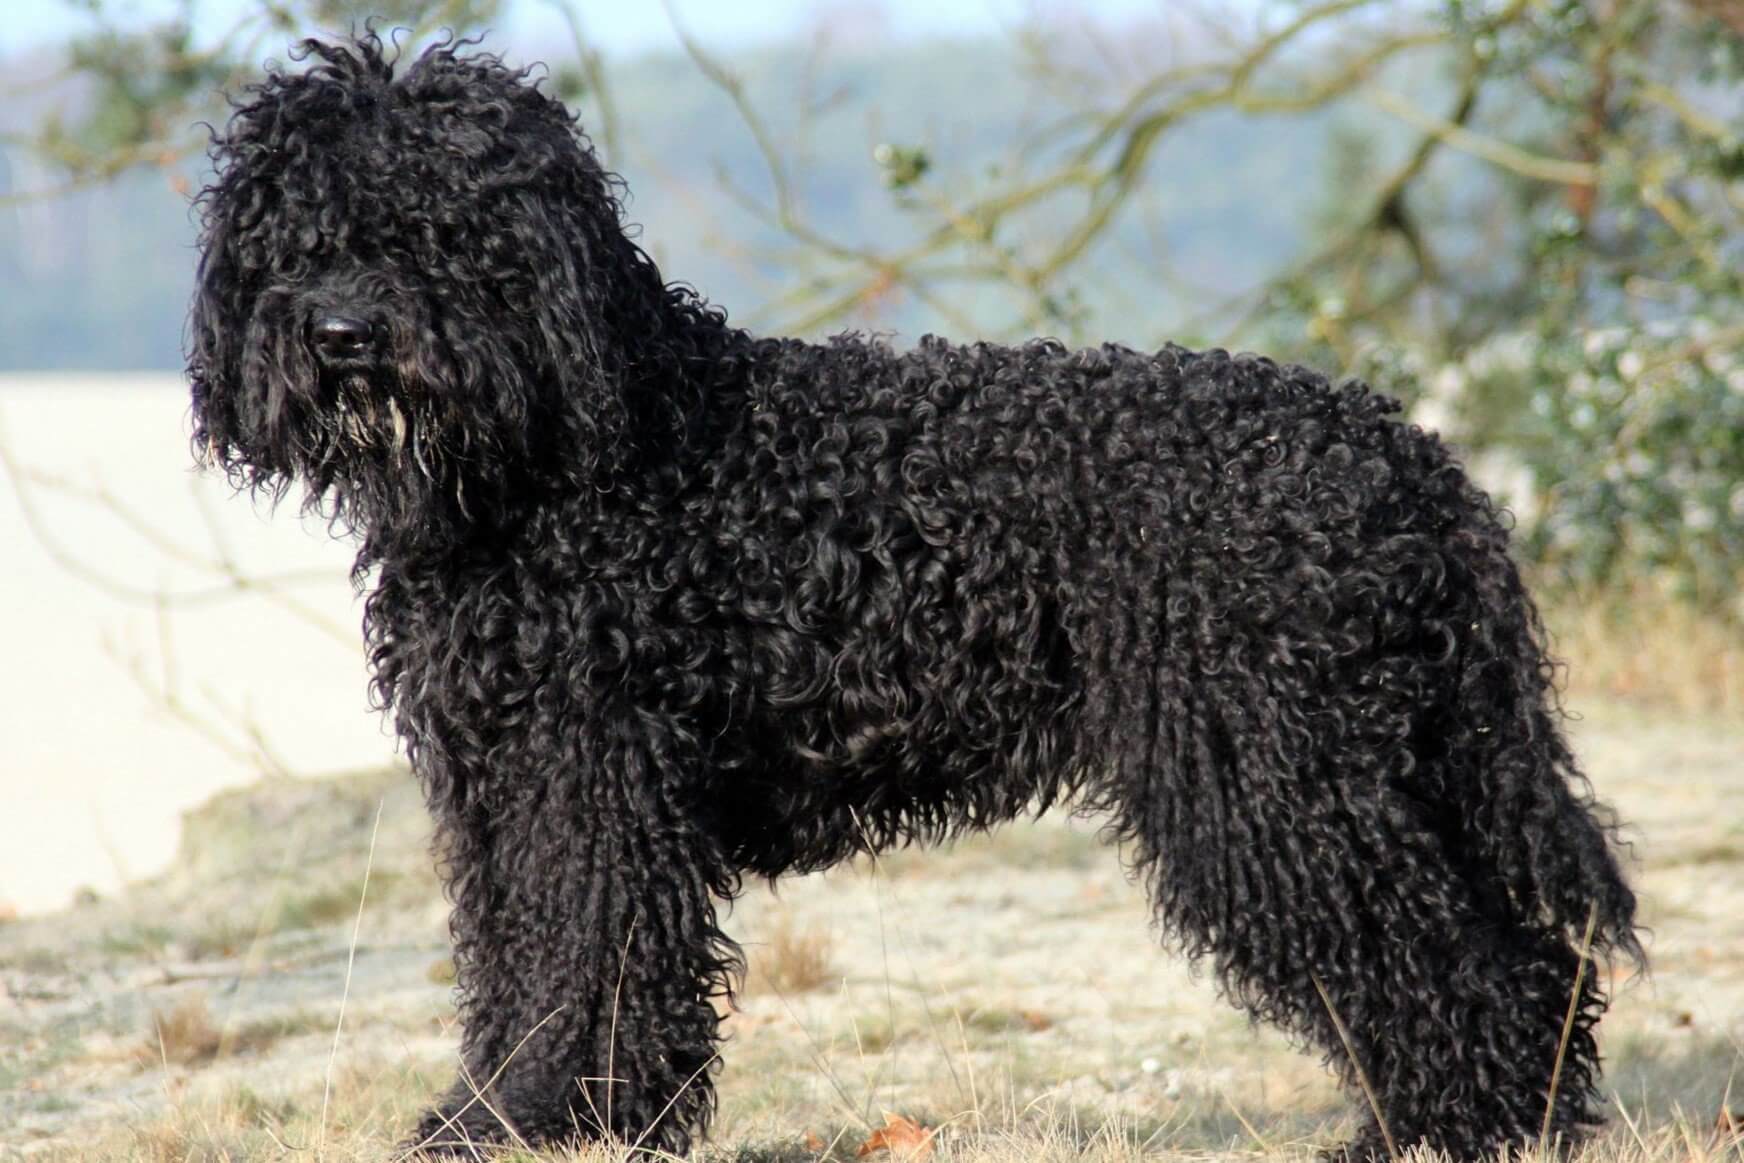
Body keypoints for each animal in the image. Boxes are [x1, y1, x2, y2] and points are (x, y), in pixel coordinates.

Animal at [190, 31, 1632, 1157]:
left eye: (445, 228)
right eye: (296, 236)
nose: (343, 333)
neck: (581, 442)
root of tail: (1414, 456)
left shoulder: (584, 777)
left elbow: (580, 957)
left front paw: (541, 1119)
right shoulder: (503, 778)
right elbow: (515, 959)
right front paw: (500, 1113)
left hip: (1281, 776)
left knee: (1455, 966)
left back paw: (1443, 1130)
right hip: (1381, 763)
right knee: (1526, 961)